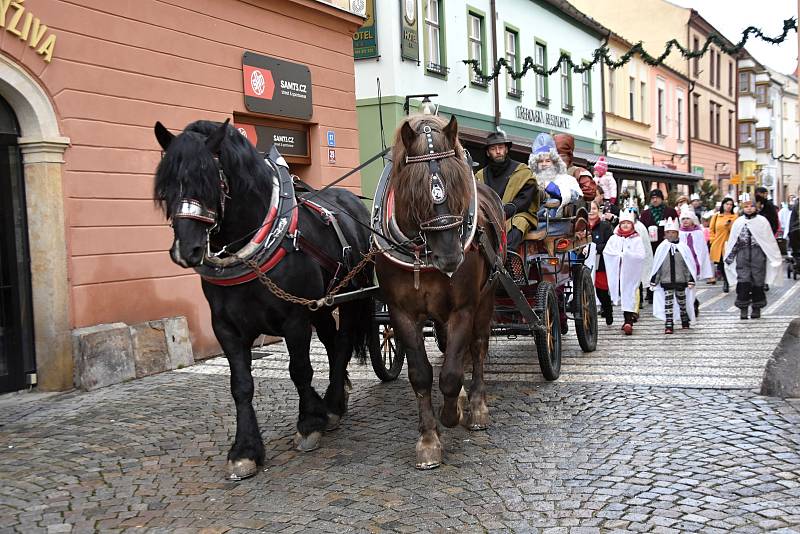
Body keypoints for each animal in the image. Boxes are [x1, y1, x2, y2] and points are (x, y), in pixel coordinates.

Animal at [155, 120, 374, 482]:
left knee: (342, 343)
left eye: (209, 179)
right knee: (332, 343)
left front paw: (309, 422)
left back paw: (331, 404)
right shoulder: (226, 327)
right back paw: (335, 398)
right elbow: (241, 385)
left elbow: (299, 370)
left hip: (352, 298)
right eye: (166, 186)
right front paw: (245, 450)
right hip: (322, 304)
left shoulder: (295, 319)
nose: (187, 250)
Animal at [376, 115, 504, 472]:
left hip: (486, 298)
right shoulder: (401, 312)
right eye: (415, 190)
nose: (450, 258)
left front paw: (453, 414)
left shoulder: (463, 308)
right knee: (450, 347)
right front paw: (429, 441)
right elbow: (421, 374)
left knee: (476, 348)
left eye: (458, 184)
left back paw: (476, 407)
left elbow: (450, 374)